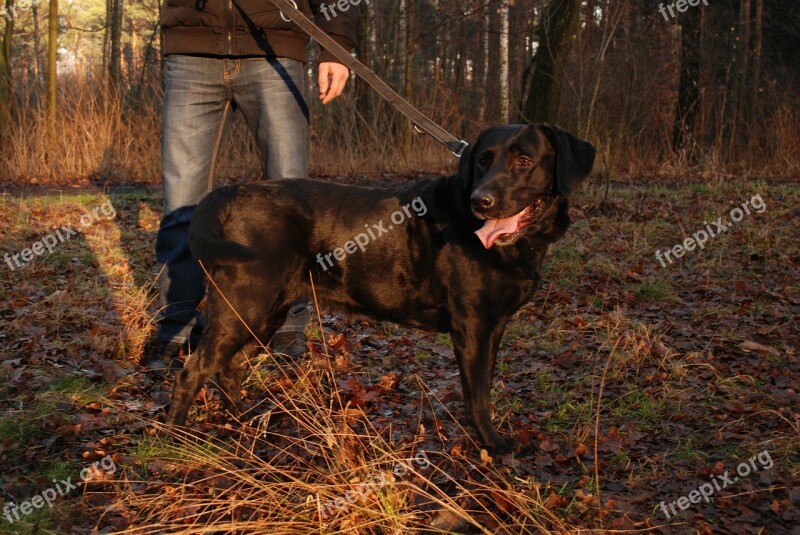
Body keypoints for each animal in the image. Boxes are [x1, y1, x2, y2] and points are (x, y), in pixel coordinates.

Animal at [167, 124, 592, 452]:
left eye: (524, 161)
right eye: (483, 161)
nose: (481, 200)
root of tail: (238, 192)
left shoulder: (495, 325)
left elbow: (484, 384)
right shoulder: (473, 328)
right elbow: (478, 395)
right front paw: (493, 444)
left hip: (265, 315)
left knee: (229, 368)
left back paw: (244, 420)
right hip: (244, 305)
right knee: (193, 371)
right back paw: (175, 437)